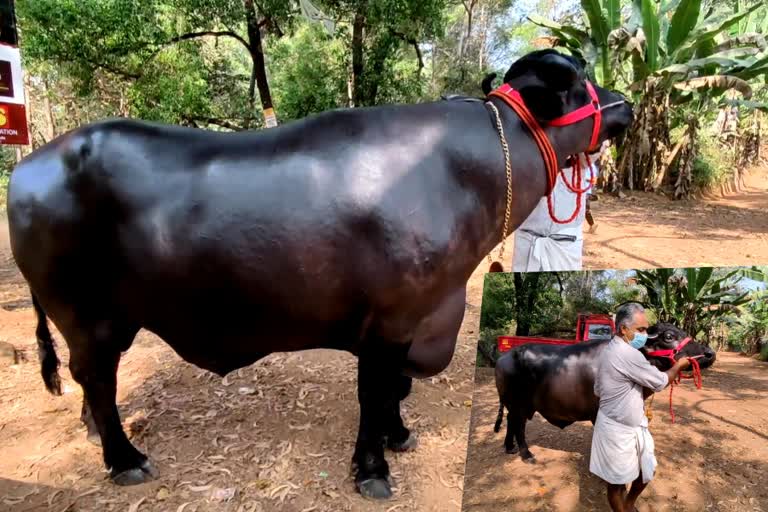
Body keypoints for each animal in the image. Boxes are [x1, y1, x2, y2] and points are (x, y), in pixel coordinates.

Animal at [7, 49, 632, 500]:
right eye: (578, 82)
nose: (624, 104)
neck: (454, 174)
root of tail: (30, 165)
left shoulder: (414, 323)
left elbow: (394, 391)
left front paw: (399, 437)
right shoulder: (390, 323)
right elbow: (376, 392)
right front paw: (373, 469)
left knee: (96, 382)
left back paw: (97, 433)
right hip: (85, 315)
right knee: (97, 378)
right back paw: (125, 460)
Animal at [492, 324, 712, 460]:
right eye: (668, 336)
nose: (709, 353)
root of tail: (504, 358)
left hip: (513, 404)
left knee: (510, 421)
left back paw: (509, 447)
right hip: (519, 404)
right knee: (518, 426)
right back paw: (526, 454)